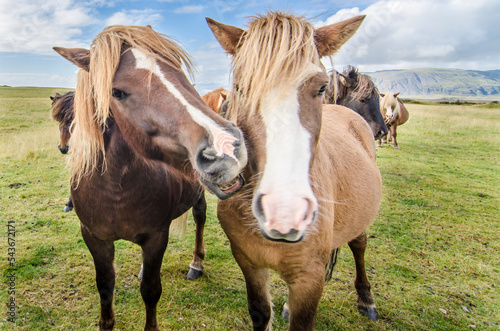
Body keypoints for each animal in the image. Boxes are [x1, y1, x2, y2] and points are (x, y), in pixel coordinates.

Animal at [53, 24, 248, 330]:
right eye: (117, 92)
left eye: (180, 73)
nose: (228, 146)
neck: (116, 190)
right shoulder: (95, 239)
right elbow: (105, 288)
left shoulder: (157, 236)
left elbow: (151, 291)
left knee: (200, 219)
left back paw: (196, 264)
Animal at [207, 11, 382, 330]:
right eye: (240, 88)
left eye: (322, 87)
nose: (284, 210)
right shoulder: (249, 264)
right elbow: (260, 312)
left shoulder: (309, 278)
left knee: (359, 245)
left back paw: (366, 299)